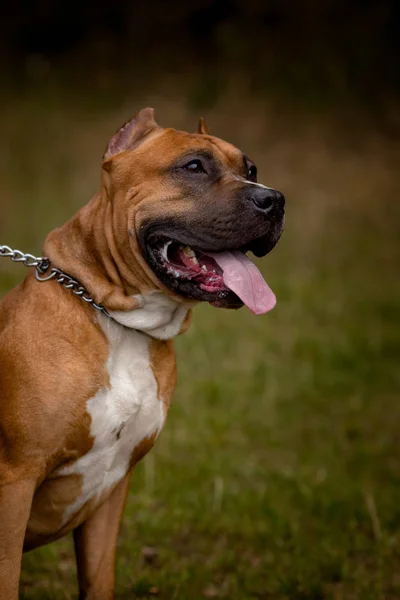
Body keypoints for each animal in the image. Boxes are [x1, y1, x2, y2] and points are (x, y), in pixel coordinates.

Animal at [0, 109, 284, 600]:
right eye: (193, 167)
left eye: (251, 170)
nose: (275, 199)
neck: (120, 325)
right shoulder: (13, 484)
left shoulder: (112, 491)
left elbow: (98, 579)